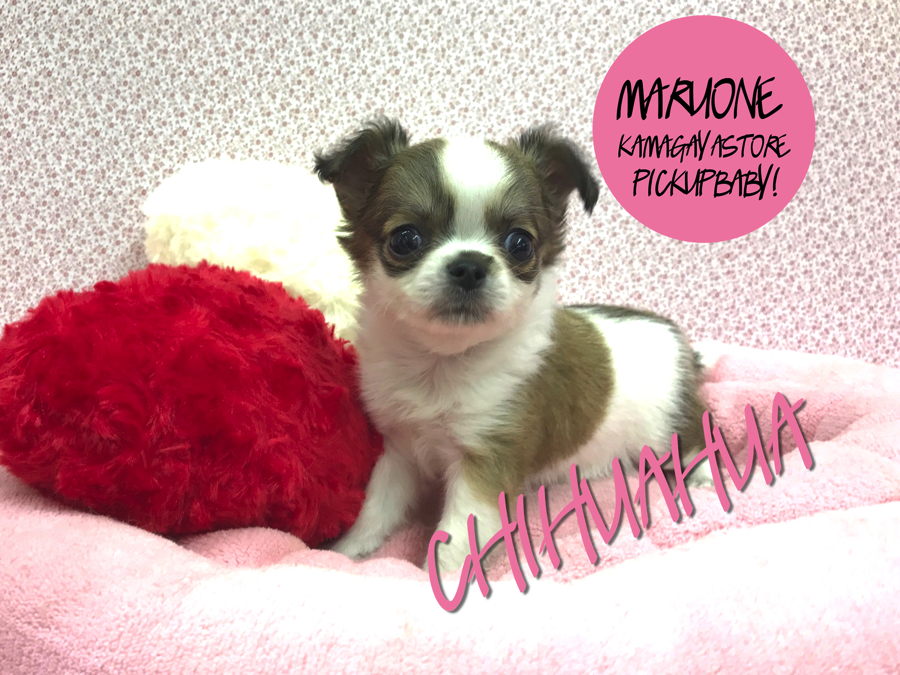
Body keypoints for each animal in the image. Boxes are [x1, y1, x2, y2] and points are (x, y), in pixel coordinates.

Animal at [313, 118, 714, 574]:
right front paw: (347, 552)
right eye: (406, 239)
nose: (470, 265)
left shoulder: (488, 461)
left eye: (520, 243)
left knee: (698, 436)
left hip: (668, 427)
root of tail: (679, 342)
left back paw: (703, 476)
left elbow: (457, 538)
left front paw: (442, 581)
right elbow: (376, 507)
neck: (443, 363)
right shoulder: (399, 449)